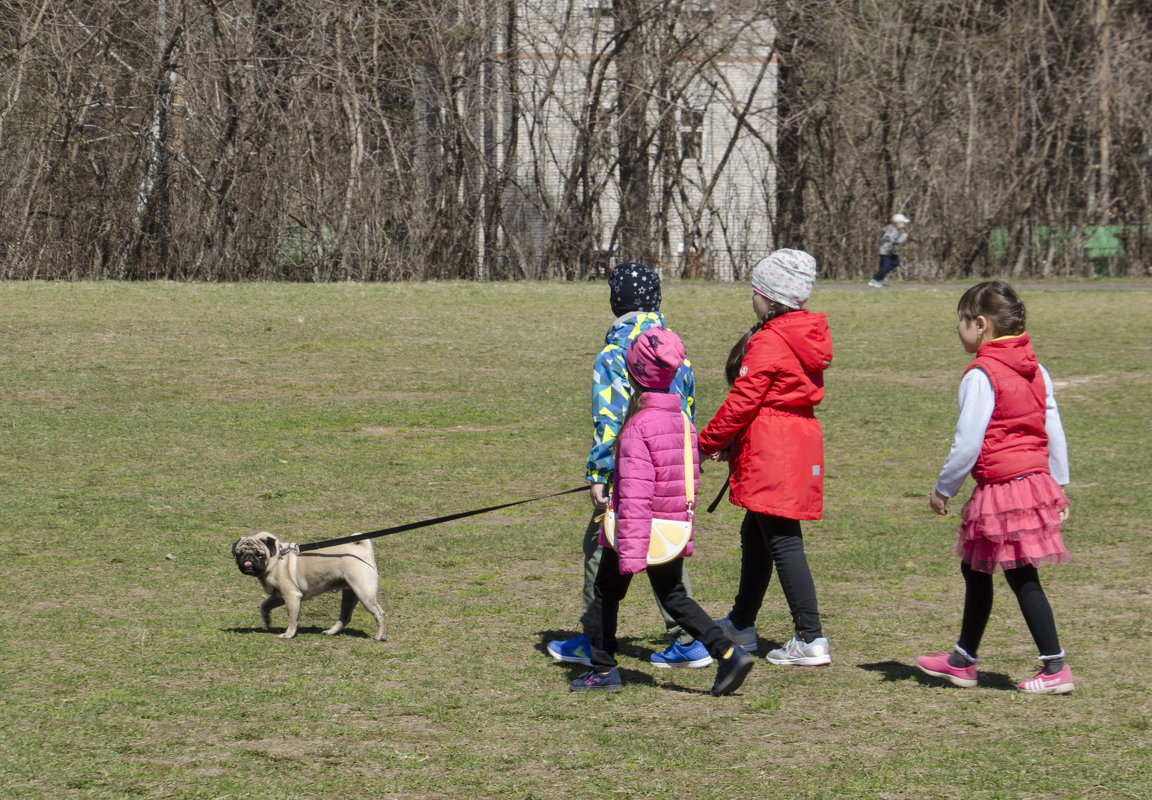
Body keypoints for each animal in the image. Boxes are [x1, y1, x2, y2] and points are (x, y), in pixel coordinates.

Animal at [231, 532, 389, 645]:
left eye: (260, 555)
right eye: (239, 554)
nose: (248, 559)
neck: (277, 559)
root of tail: (362, 547)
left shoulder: (292, 596)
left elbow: (292, 618)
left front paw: (288, 634)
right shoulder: (278, 596)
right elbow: (264, 606)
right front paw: (266, 622)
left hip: (363, 592)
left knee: (379, 613)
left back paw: (380, 636)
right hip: (350, 594)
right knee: (345, 617)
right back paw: (331, 632)